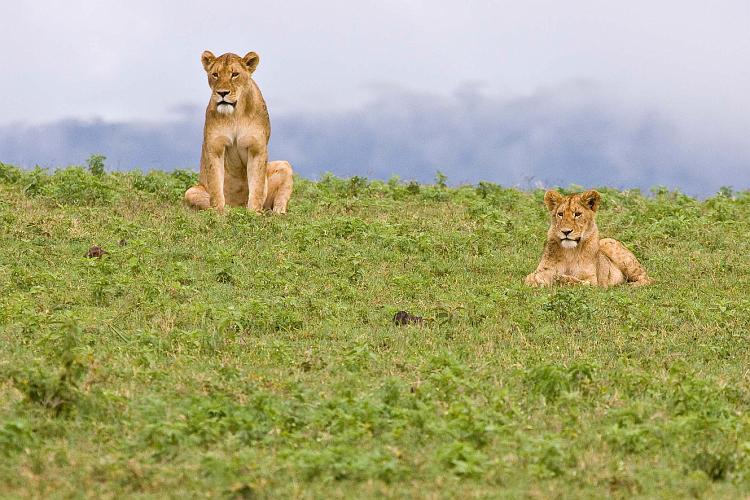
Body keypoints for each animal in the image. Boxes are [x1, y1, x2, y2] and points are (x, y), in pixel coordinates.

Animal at [185, 49, 294, 214]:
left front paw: (253, 213)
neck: (235, 114)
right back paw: (230, 210)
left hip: (285, 165)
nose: (222, 92)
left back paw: (275, 213)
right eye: (215, 74)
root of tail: (238, 206)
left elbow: (257, 186)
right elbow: (216, 184)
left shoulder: (257, 149)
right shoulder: (215, 148)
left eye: (234, 74)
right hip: (191, 191)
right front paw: (219, 212)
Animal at [524, 189, 656, 288]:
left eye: (577, 214)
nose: (566, 231)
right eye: (560, 214)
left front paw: (562, 278)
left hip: (611, 244)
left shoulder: (592, 279)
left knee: (647, 279)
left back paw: (630, 286)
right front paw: (537, 281)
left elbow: (581, 283)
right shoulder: (542, 271)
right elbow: (530, 279)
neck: (569, 253)